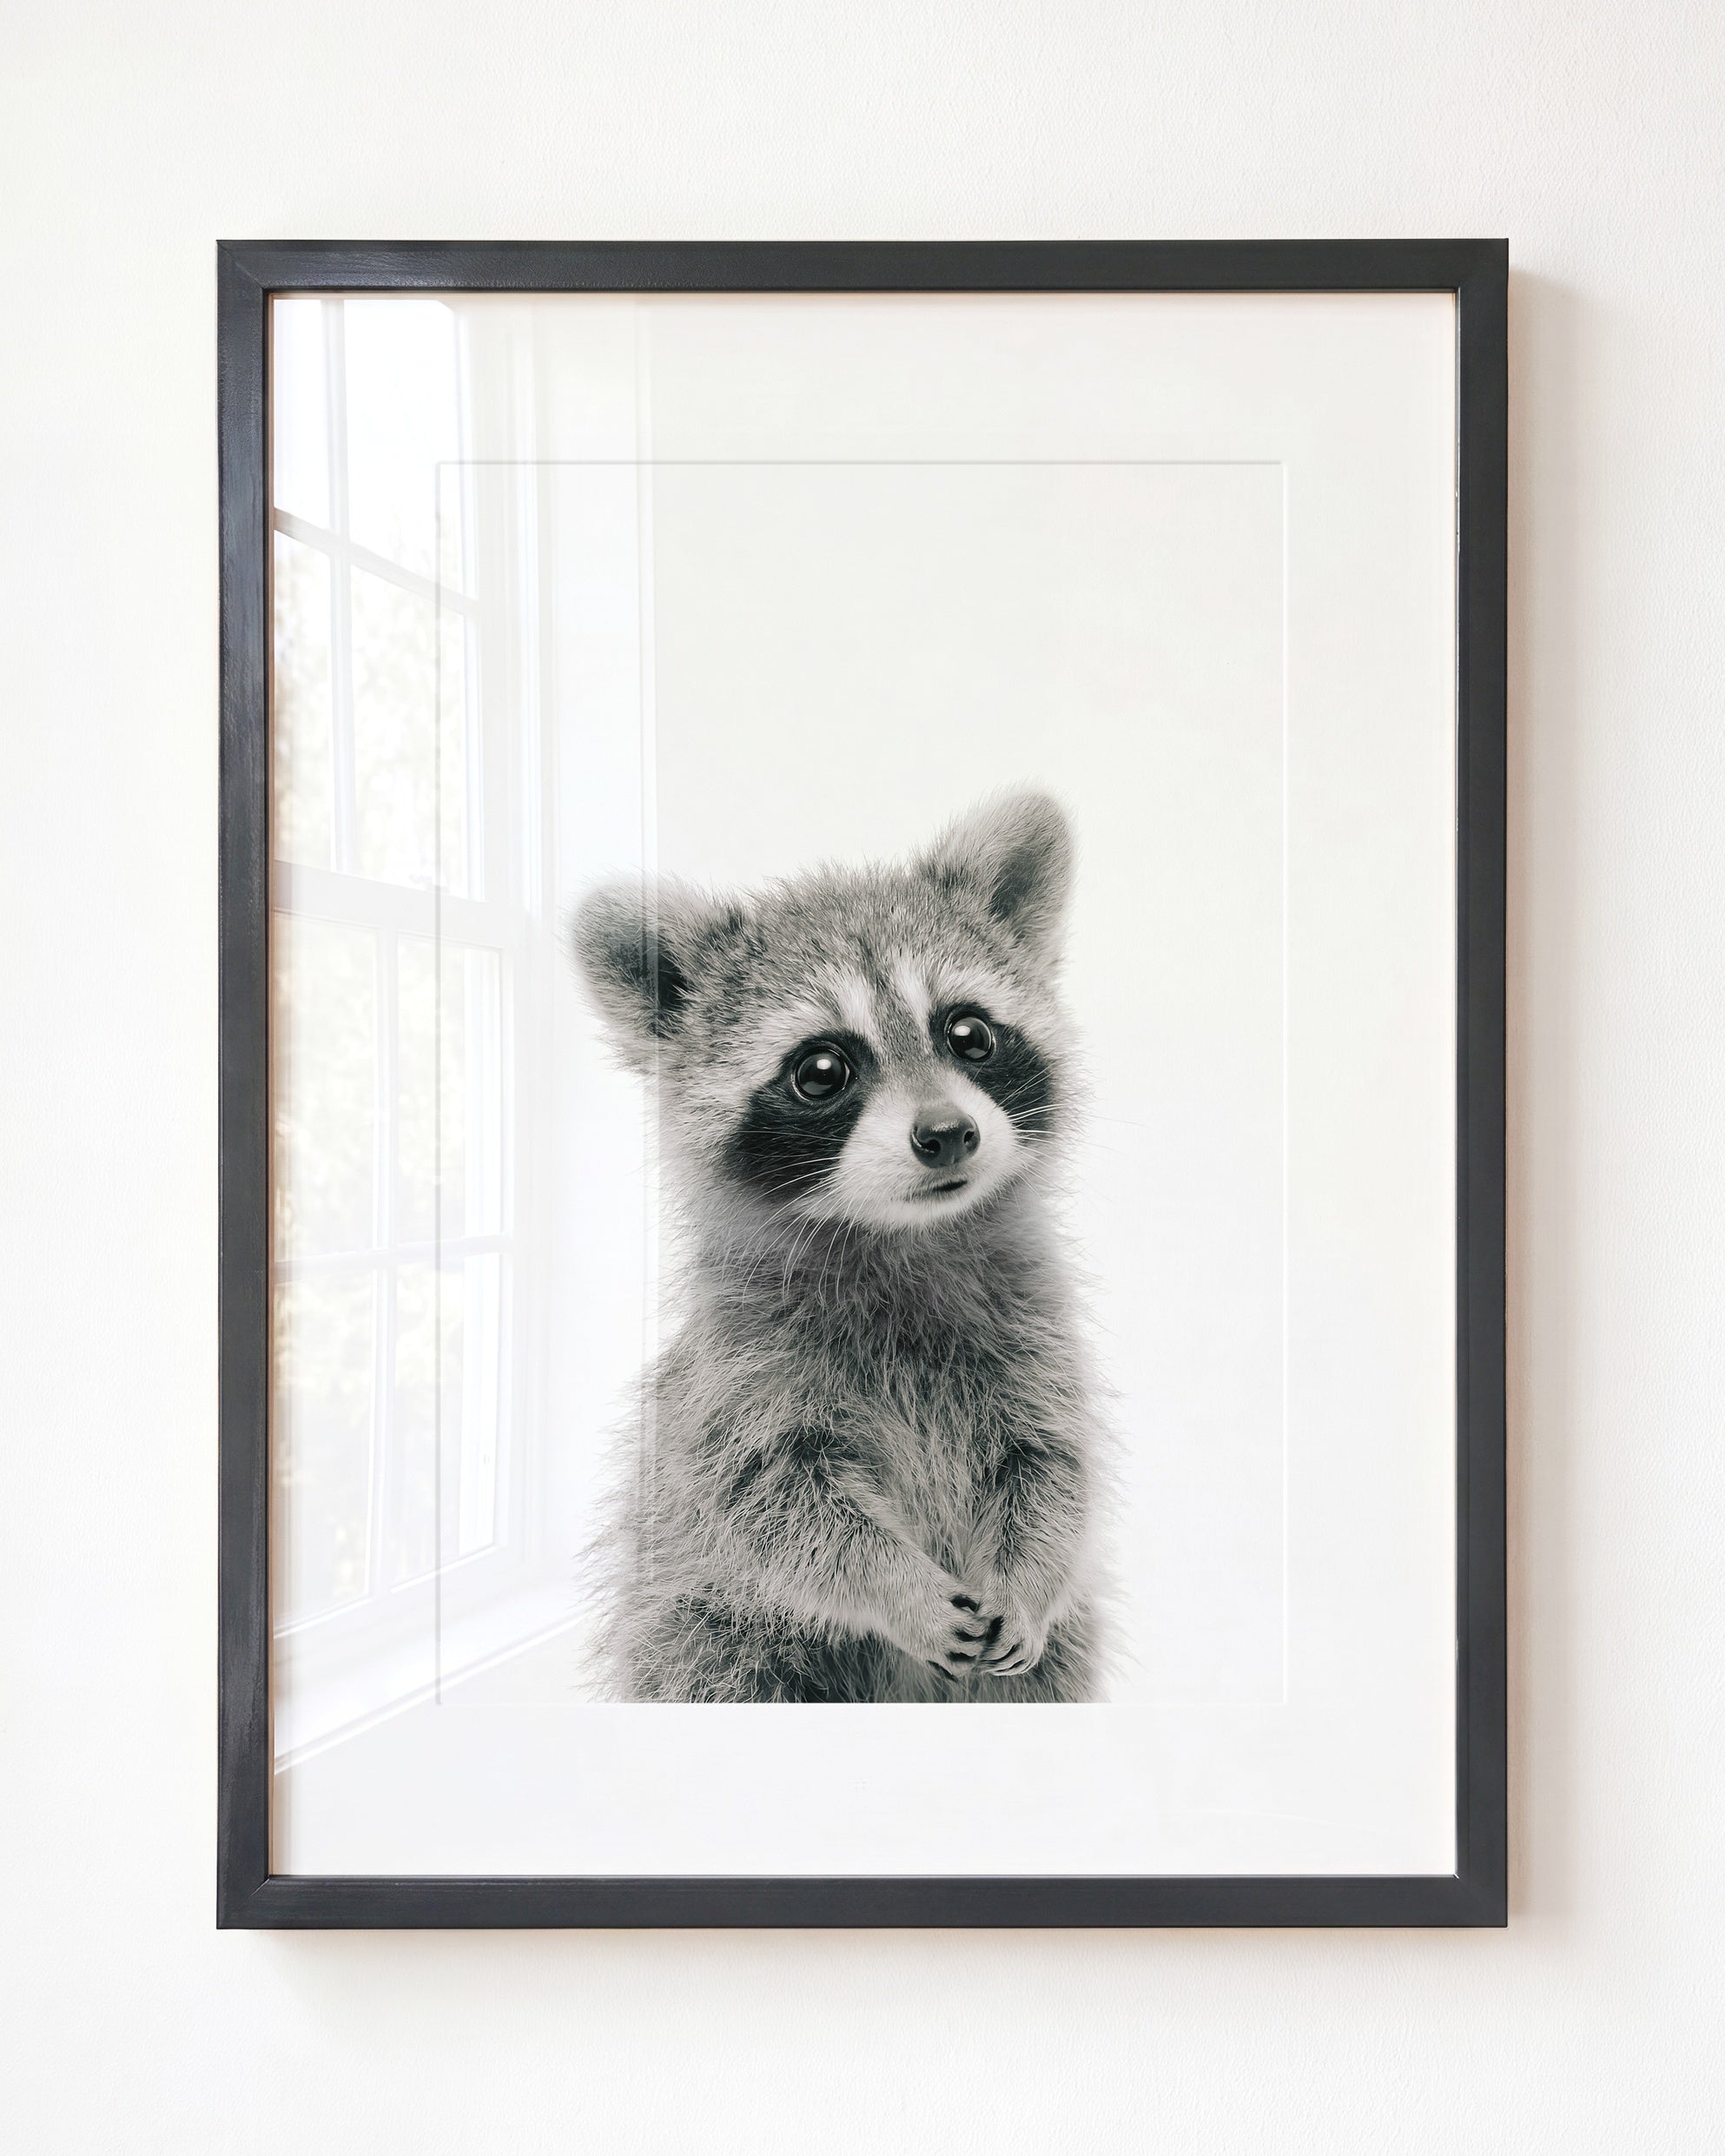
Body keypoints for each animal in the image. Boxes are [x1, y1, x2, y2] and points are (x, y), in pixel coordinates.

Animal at [570, 791, 1105, 1702]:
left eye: (969, 1034)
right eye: (822, 1070)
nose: (947, 1134)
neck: (901, 1237)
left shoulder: (1036, 1338)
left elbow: (1052, 1466)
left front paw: (1029, 1579)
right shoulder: (738, 1378)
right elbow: (777, 1507)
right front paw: (899, 1589)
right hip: (708, 1632)